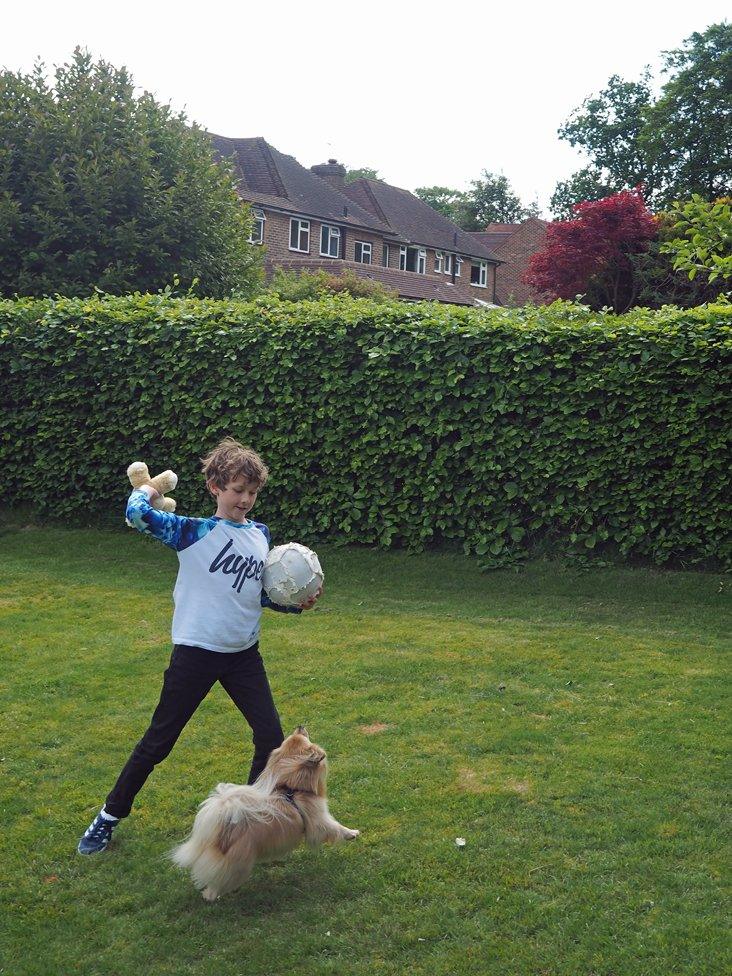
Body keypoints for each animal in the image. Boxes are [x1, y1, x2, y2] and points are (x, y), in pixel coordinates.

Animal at [169, 724, 358, 900]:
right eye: (304, 738)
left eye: (294, 736)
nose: (300, 726)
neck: (293, 788)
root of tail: (220, 835)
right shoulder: (318, 819)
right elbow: (335, 828)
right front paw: (352, 833)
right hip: (237, 867)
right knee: (218, 882)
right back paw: (212, 896)